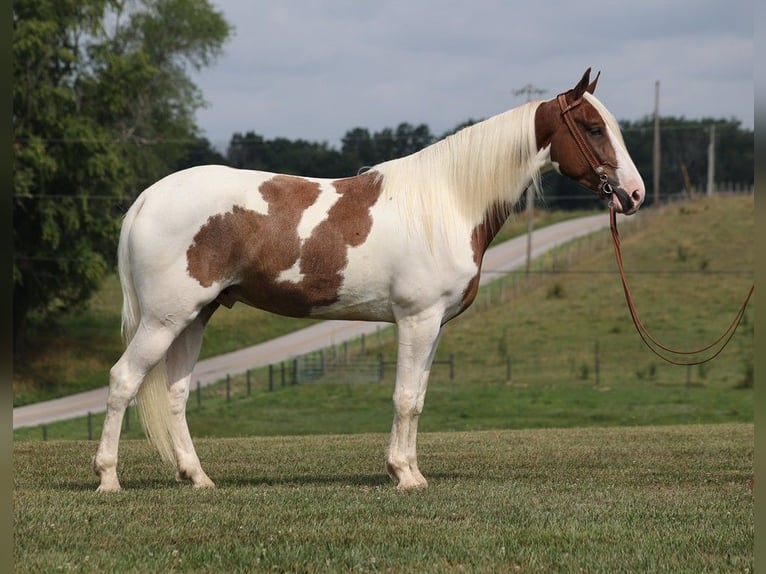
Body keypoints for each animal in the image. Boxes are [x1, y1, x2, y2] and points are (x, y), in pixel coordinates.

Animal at [94, 66, 648, 490]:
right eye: (593, 128)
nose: (636, 194)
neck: (448, 202)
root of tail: (147, 198)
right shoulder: (417, 320)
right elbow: (404, 399)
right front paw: (404, 475)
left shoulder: (433, 326)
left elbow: (417, 399)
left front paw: (410, 471)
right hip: (165, 319)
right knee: (123, 381)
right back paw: (109, 479)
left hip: (195, 316)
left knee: (174, 394)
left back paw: (198, 478)